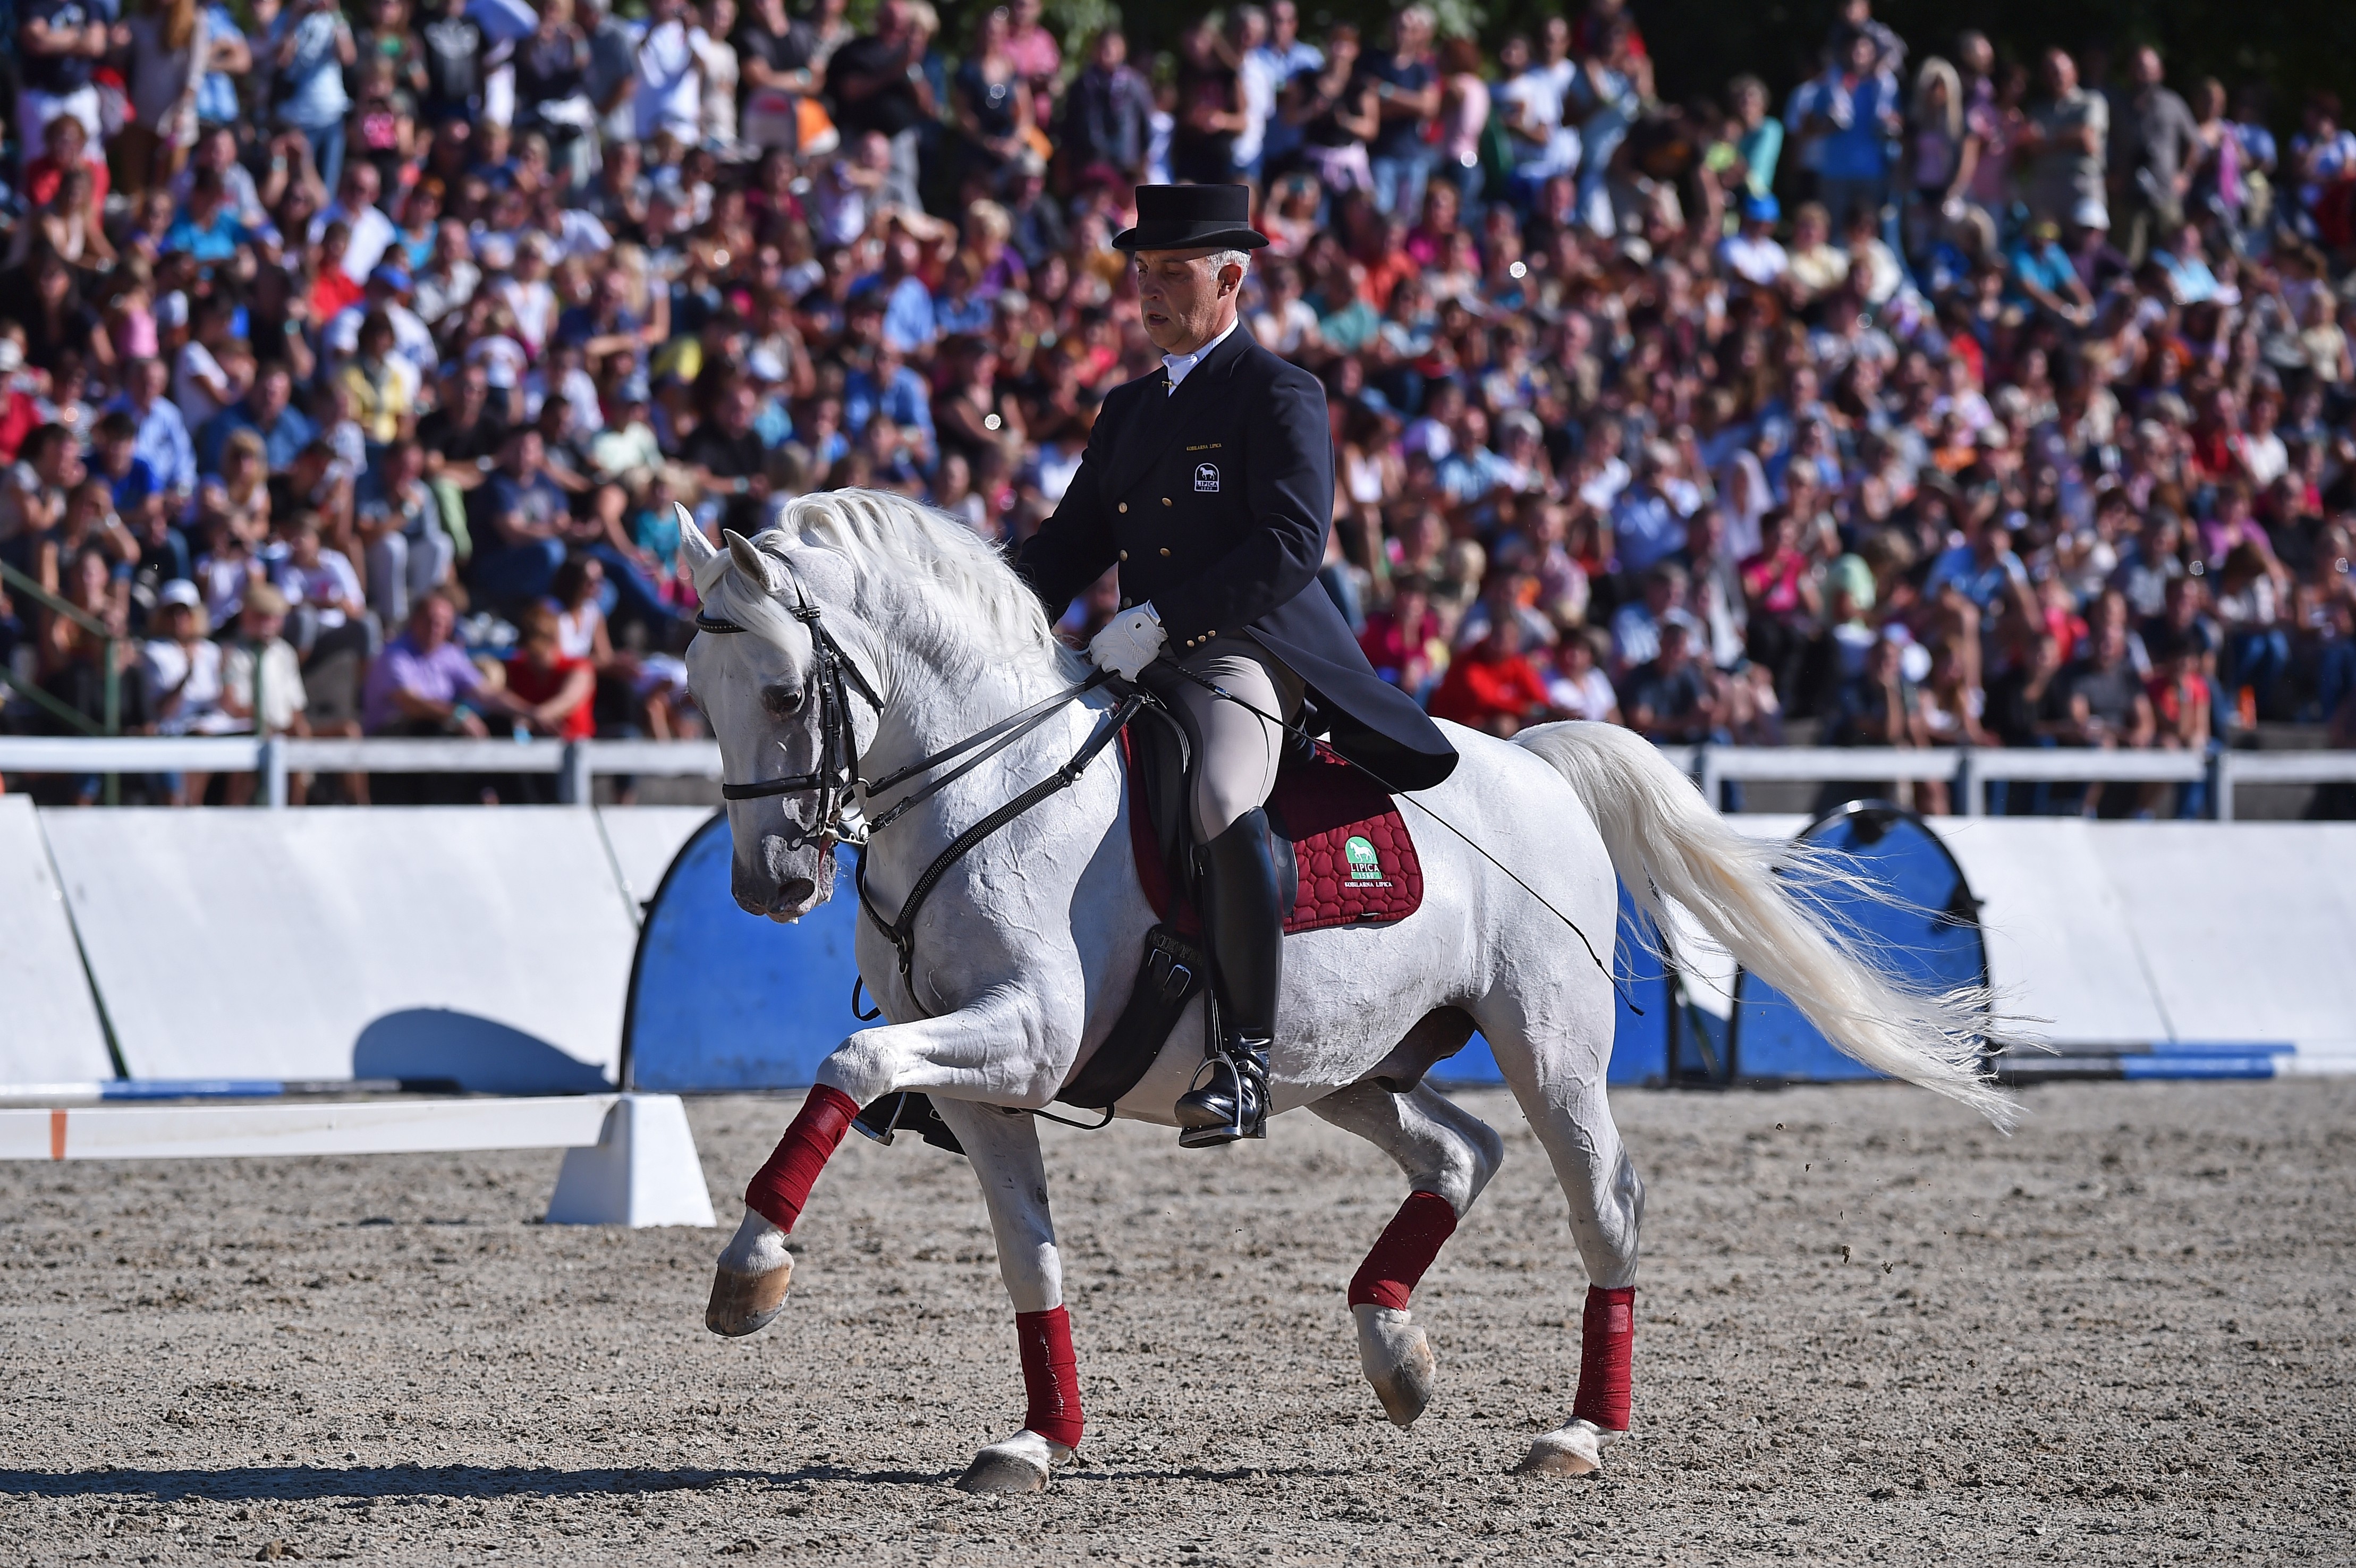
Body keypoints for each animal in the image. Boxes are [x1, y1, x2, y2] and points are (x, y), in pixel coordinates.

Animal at [677, 490, 2009, 1493]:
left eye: (786, 693)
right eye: (698, 691)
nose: (767, 881)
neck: (991, 780)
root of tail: (1535, 763)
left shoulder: (1026, 1038)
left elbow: (849, 1064)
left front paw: (749, 1271)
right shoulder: (986, 1082)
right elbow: (1029, 1256)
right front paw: (1038, 1439)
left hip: (1549, 1050)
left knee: (1604, 1198)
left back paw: (1577, 1430)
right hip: (1352, 1065)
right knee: (1462, 1150)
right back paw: (1396, 1348)